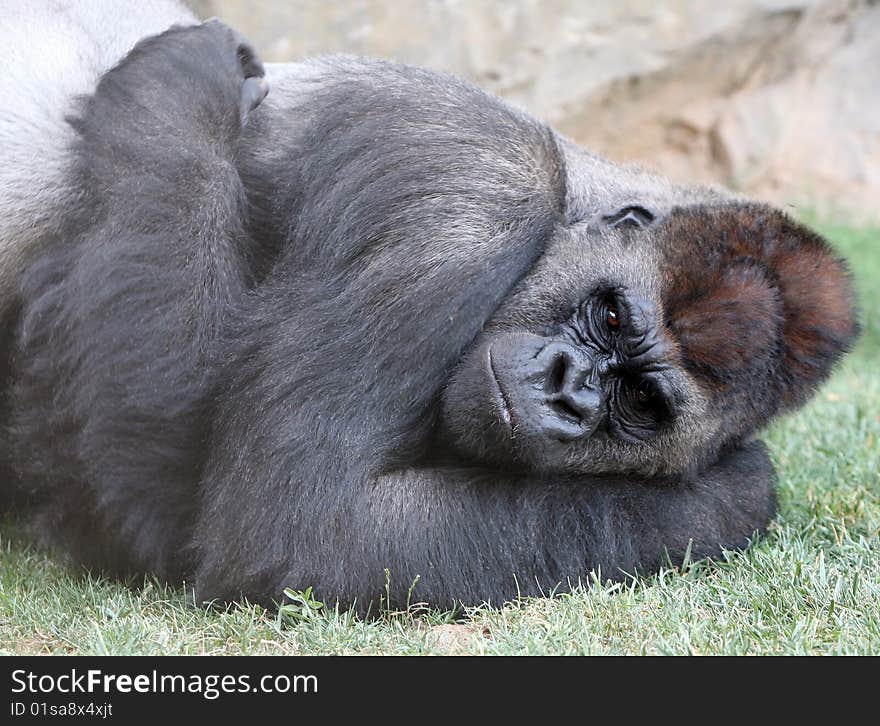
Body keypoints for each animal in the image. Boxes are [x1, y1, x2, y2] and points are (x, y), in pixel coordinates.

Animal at [0, 8, 856, 612]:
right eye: (610, 318)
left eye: (642, 401)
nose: (567, 390)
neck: (577, 186)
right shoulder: (475, 193)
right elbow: (287, 522)